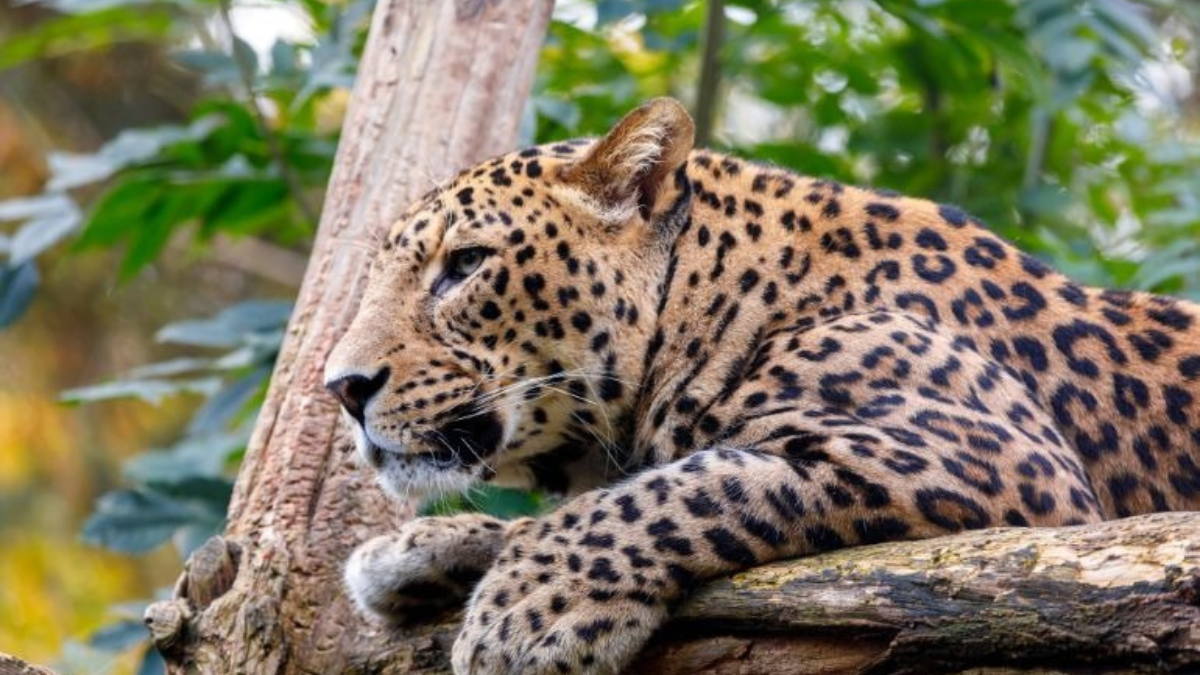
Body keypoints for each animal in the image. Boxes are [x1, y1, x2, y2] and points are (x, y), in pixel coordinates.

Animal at [324, 98, 1200, 675]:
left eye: (466, 264)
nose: (343, 387)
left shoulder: (1001, 464)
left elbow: (679, 486)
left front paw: (529, 606)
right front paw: (416, 553)